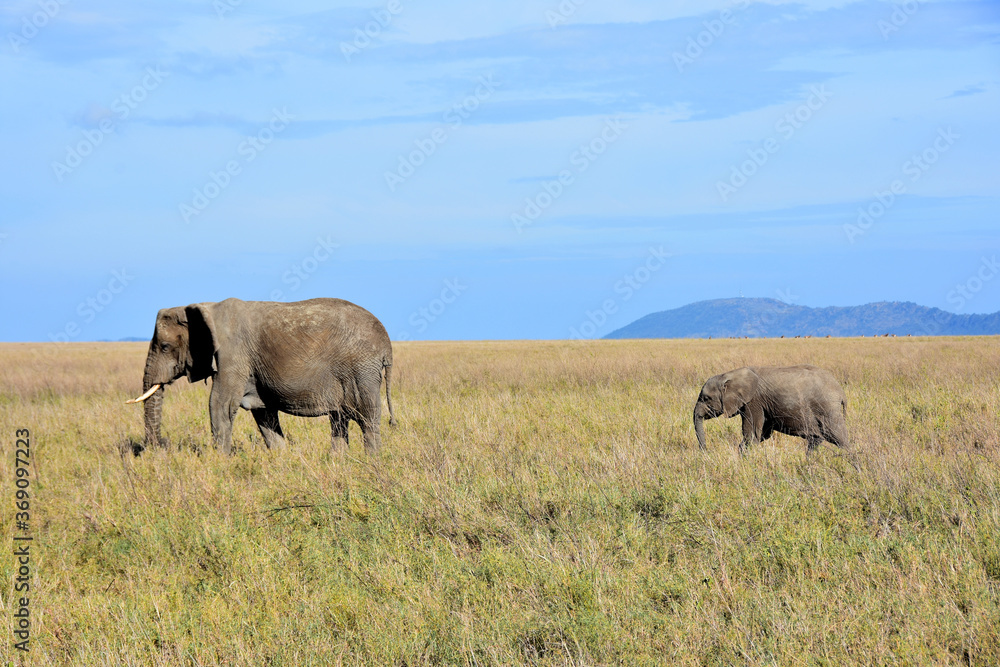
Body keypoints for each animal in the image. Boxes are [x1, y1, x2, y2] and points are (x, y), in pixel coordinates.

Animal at [131, 300, 396, 456]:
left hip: (361, 370)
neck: (204, 308)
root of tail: (387, 343)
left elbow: (219, 405)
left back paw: (371, 462)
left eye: (165, 347)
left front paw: (219, 463)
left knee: (366, 418)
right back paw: (338, 461)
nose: (158, 448)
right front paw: (282, 460)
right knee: (339, 419)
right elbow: (263, 413)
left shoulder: (233, 356)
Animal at [692, 366, 848, 454]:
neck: (729, 375)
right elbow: (762, 435)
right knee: (815, 440)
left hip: (827, 408)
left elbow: (752, 434)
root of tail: (841, 391)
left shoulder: (754, 401)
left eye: (706, 398)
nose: (706, 453)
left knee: (840, 438)